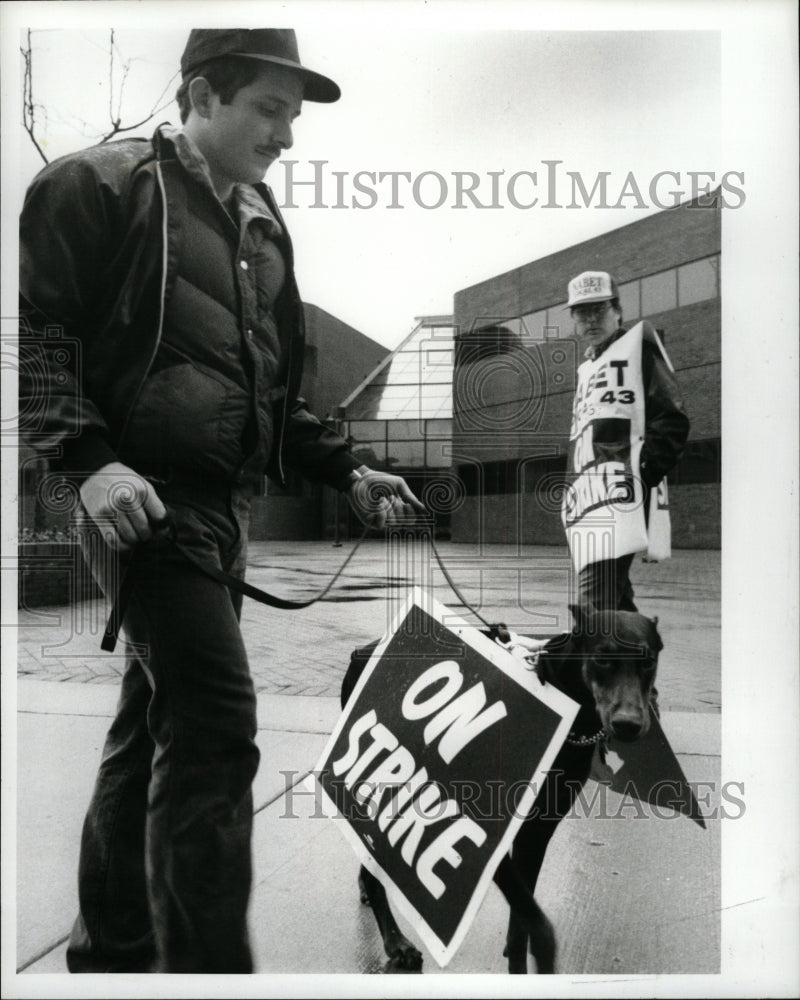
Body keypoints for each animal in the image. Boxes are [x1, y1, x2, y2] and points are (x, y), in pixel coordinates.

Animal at [340, 604, 664, 972]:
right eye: (602, 658)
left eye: (649, 661)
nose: (629, 725)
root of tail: (361, 650)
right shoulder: (490, 833)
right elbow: (534, 919)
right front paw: (541, 954)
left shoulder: (538, 830)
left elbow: (521, 919)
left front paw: (519, 957)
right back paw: (395, 940)